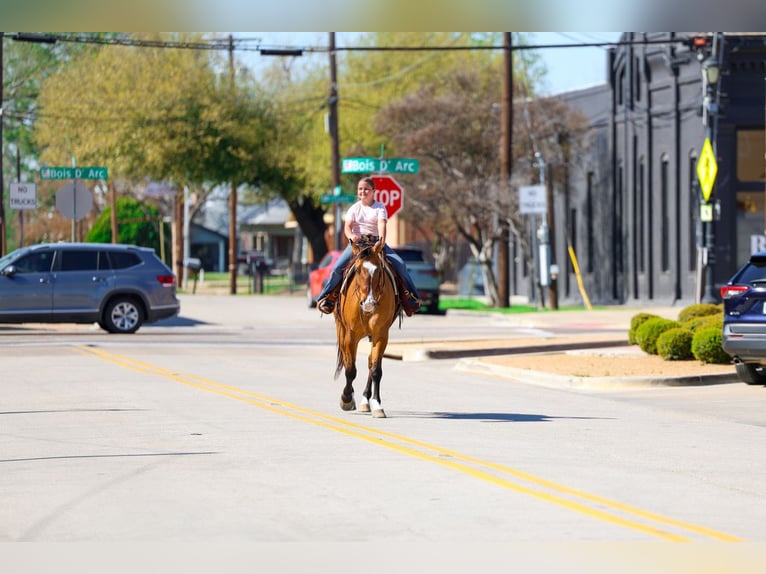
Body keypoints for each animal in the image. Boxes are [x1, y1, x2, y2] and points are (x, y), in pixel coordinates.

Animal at [333, 239, 400, 418]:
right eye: (357, 270)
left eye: (378, 270)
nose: (369, 304)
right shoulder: (350, 335)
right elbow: (350, 369)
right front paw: (346, 399)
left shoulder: (381, 334)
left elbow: (376, 369)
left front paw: (376, 405)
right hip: (341, 331)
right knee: (347, 360)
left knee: (371, 362)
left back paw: (365, 401)